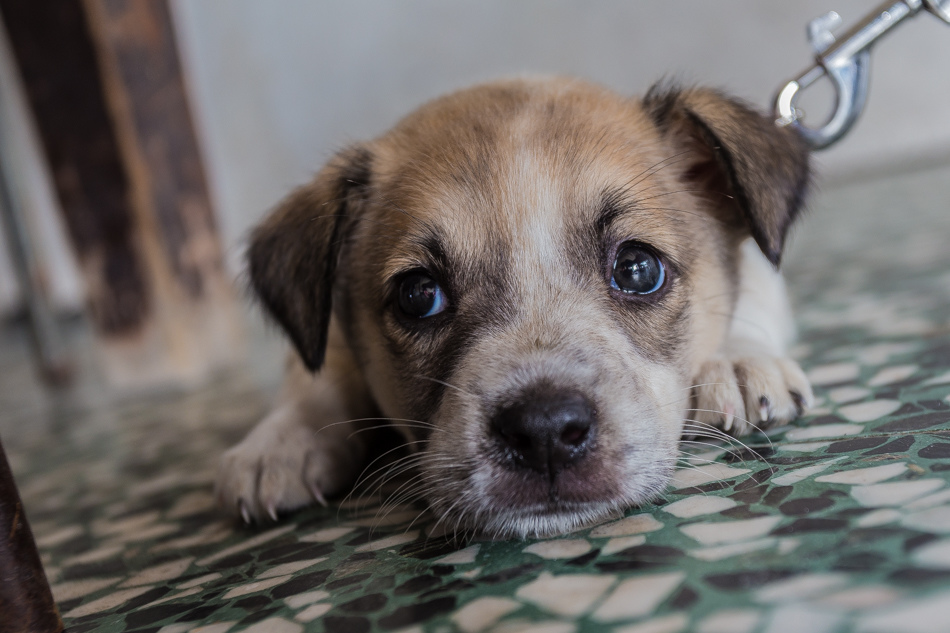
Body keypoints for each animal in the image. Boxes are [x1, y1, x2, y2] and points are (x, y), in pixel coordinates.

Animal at [218, 76, 820, 536]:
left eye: (637, 269)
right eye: (418, 296)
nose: (545, 432)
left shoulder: (760, 271)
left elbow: (751, 297)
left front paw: (739, 362)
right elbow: (313, 374)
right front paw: (281, 439)